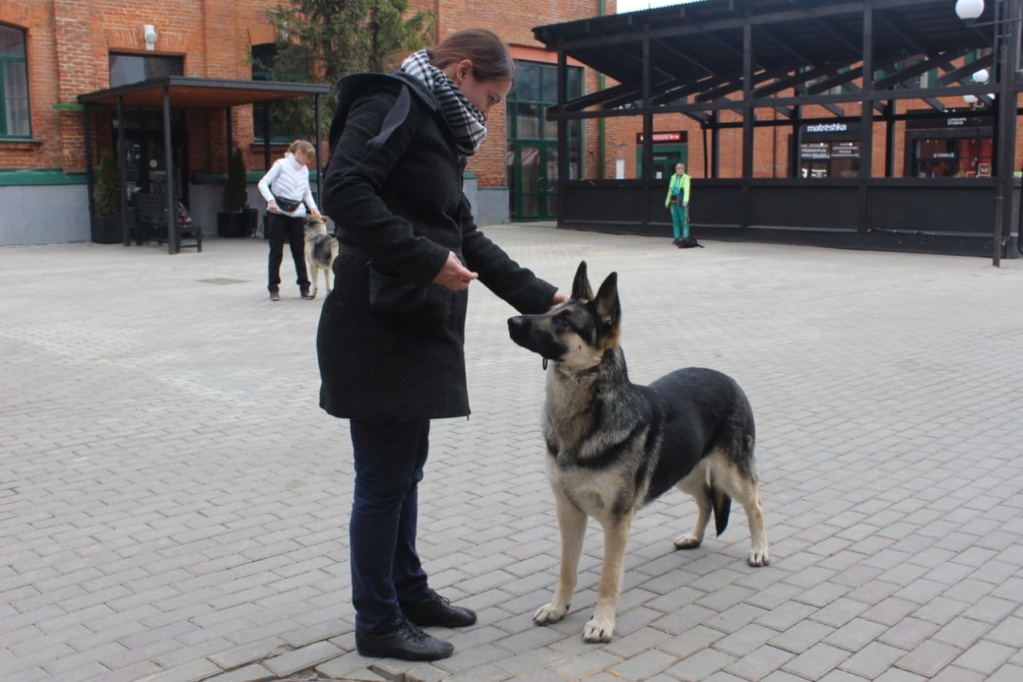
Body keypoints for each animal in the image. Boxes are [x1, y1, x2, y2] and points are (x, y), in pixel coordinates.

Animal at [505, 261, 769, 646]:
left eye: (565, 320)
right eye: (552, 311)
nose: (511, 321)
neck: (584, 424)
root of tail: (727, 378)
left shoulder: (617, 523)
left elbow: (608, 578)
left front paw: (602, 623)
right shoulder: (568, 513)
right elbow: (567, 570)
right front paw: (558, 608)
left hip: (730, 473)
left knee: (755, 506)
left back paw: (759, 549)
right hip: (683, 472)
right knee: (706, 499)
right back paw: (695, 537)